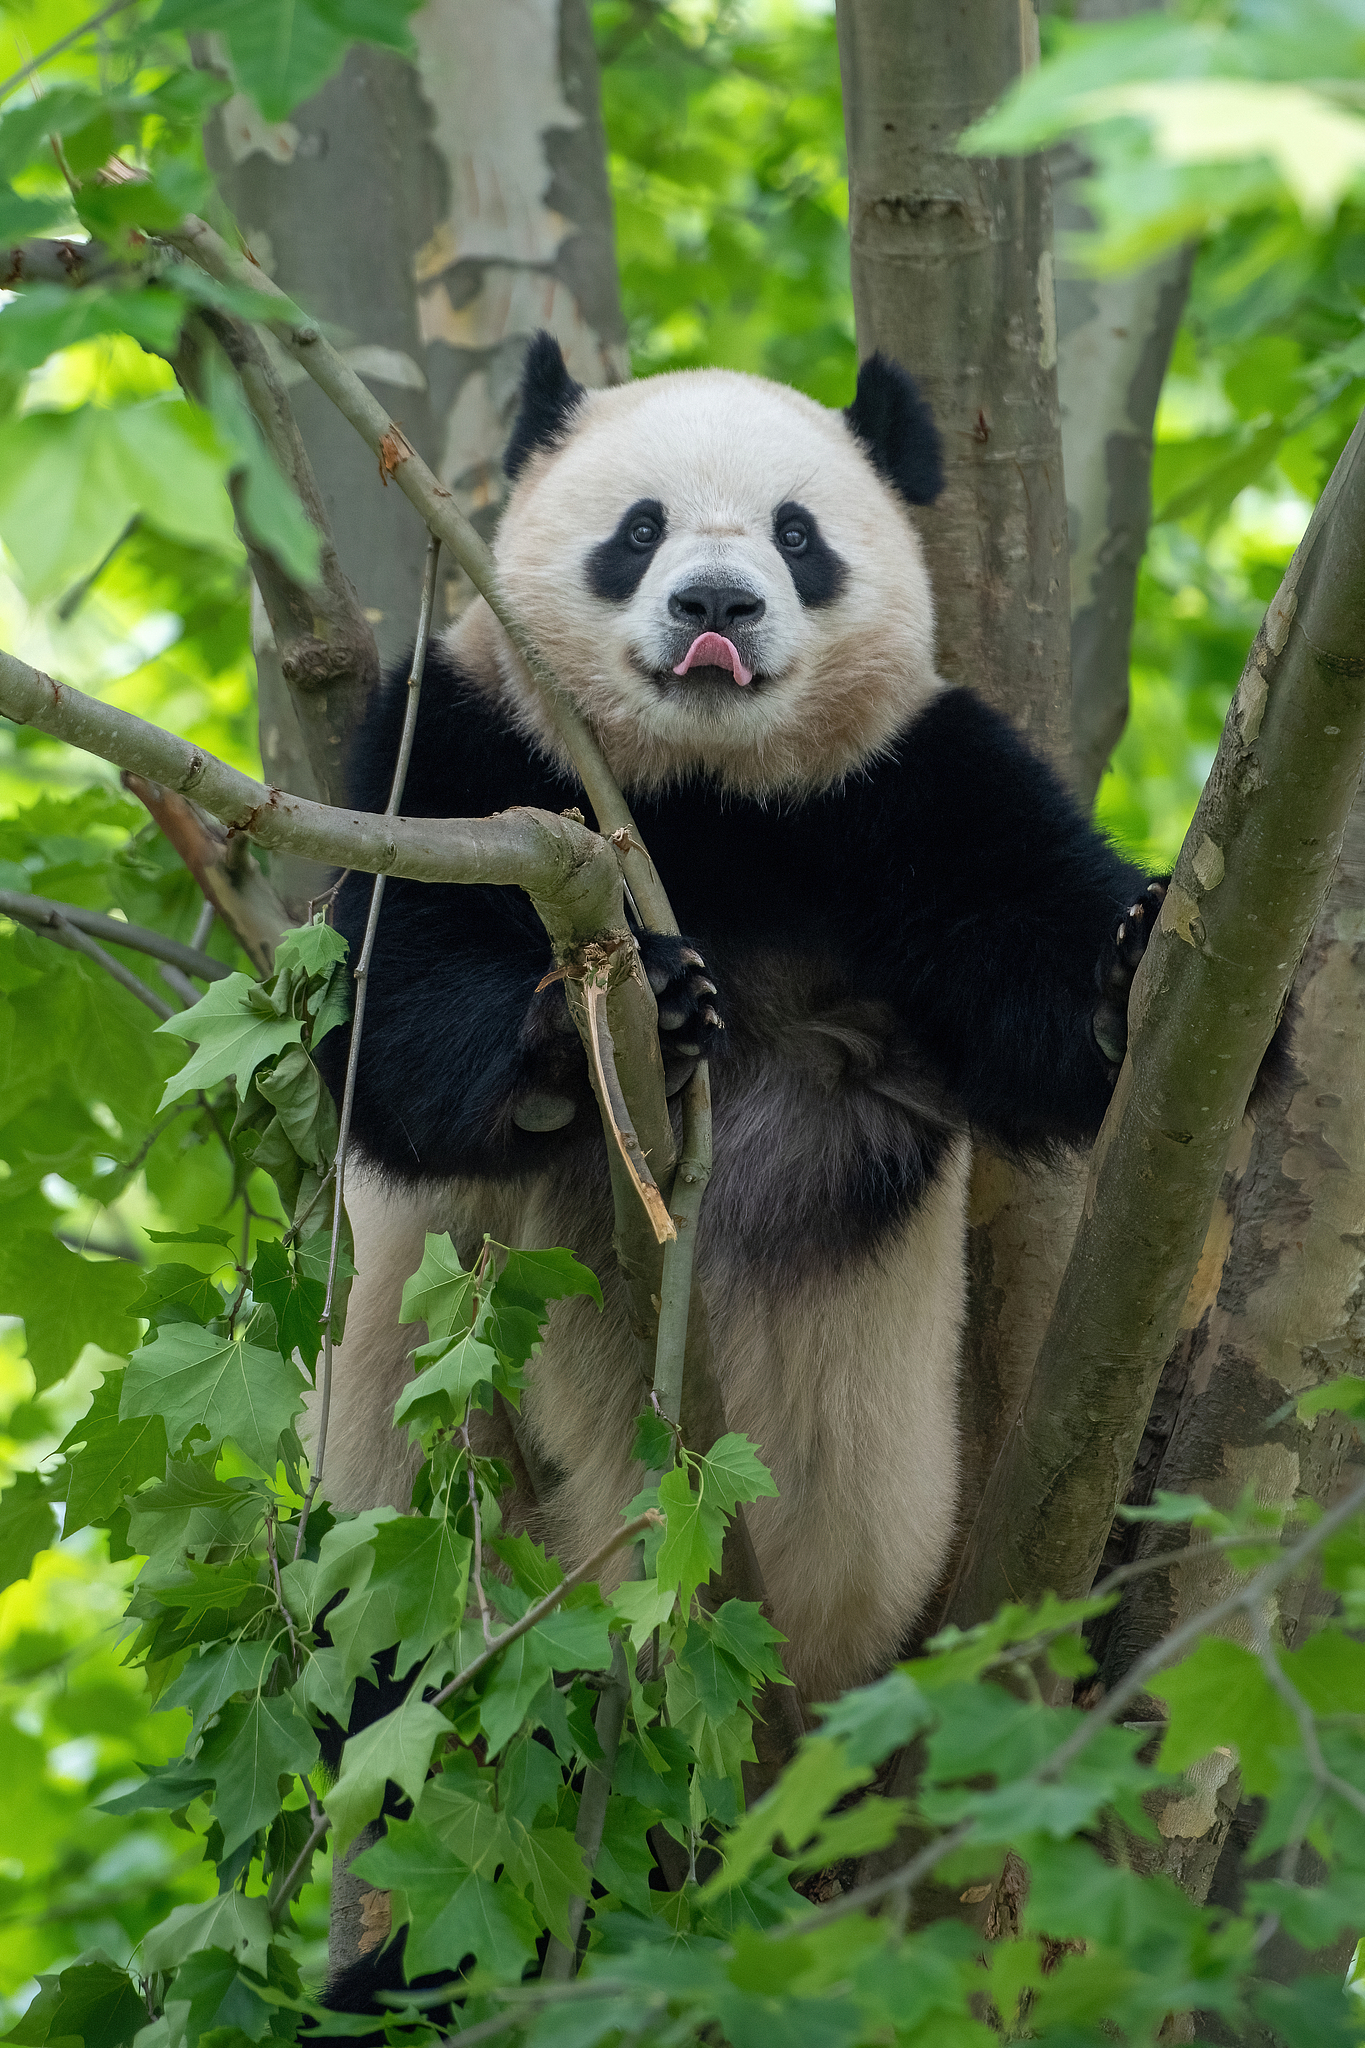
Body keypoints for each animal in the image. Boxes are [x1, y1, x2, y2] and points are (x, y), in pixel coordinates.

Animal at [315, 335, 1162, 1703]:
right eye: (640, 528)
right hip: (409, 1539)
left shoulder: (901, 779)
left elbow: (1025, 954)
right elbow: (393, 1005)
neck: (704, 795)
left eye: (798, 534)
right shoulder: (461, 749)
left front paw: (1126, 970)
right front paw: (603, 1035)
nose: (717, 605)